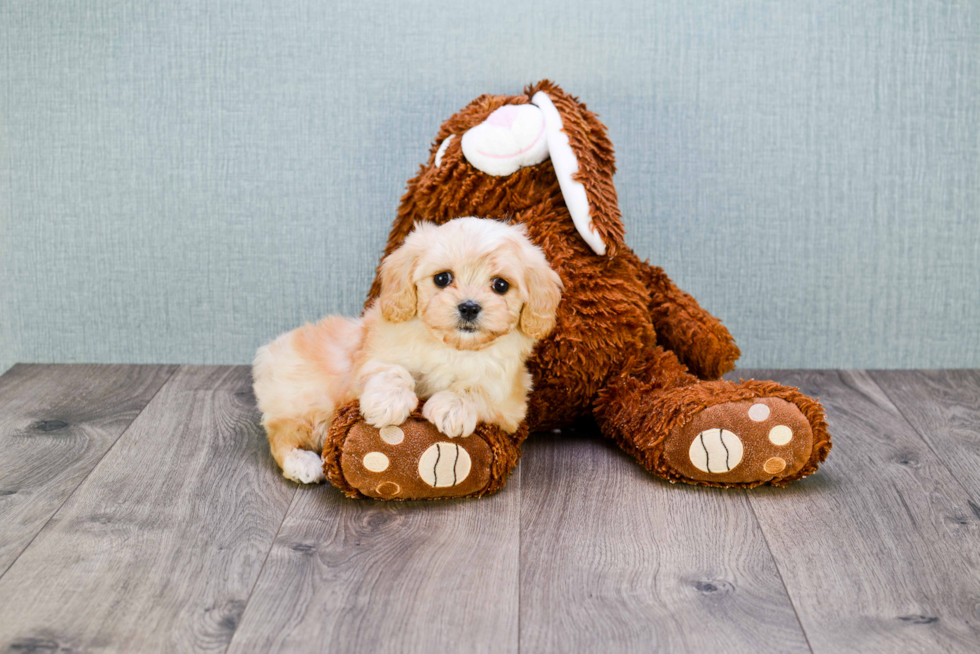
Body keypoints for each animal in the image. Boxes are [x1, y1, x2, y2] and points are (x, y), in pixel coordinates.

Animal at [249, 218, 564, 484]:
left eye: (500, 285)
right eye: (442, 278)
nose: (469, 307)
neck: (452, 347)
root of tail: (269, 352)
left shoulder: (511, 399)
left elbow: (476, 389)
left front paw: (451, 408)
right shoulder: (373, 354)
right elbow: (391, 370)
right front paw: (389, 402)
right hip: (307, 400)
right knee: (281, 436)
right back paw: (303, 463)